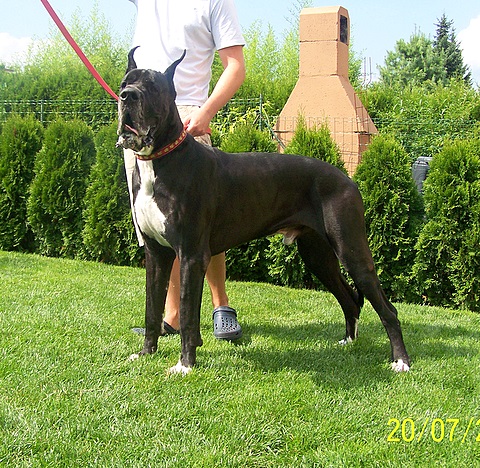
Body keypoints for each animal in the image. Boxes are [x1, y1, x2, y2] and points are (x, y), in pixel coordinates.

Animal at [117, 48, 410, 375]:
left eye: (153, 87)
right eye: (125, 83)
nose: (127, 97)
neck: (160, 159)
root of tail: (347, 178)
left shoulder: (192, 256)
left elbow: (190, 317)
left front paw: (185, 365)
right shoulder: (156, 254)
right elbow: (151, 310)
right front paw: (146, 353)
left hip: (352, 250)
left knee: (387, 308)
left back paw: (400, 360)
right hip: (317, 255)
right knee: (349, 299)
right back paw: (348, 341)